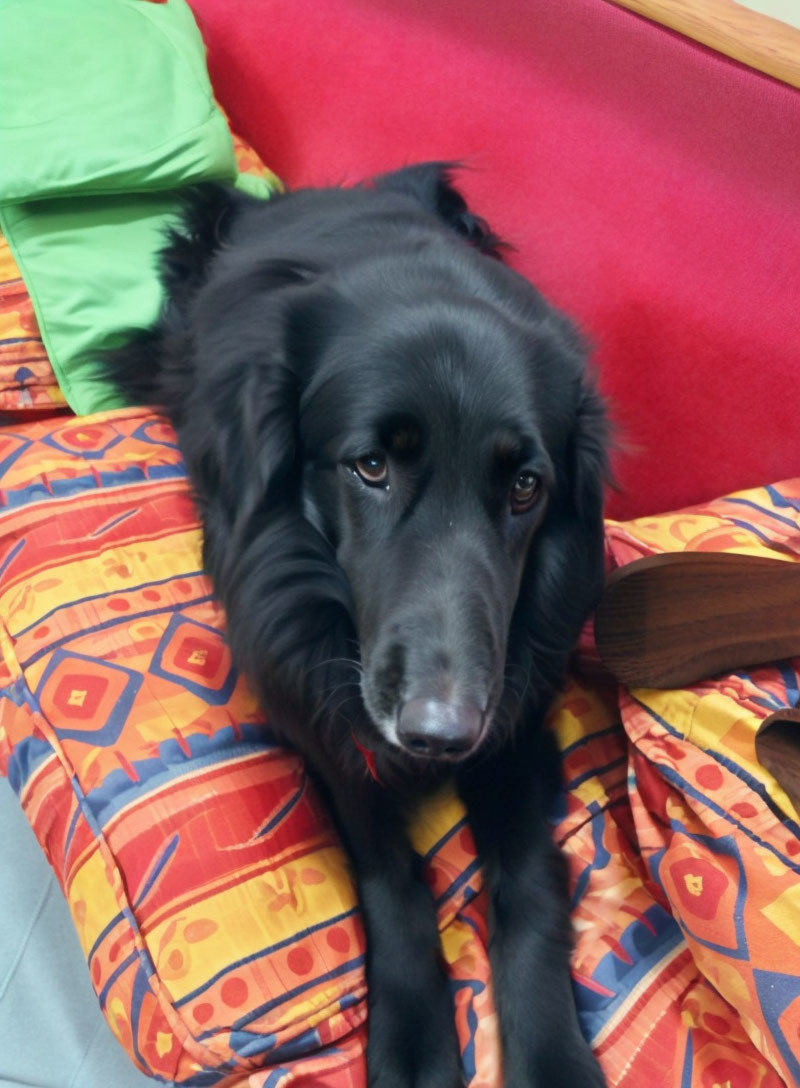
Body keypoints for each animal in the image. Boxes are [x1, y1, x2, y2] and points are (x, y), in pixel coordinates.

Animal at [106, 163, 605, 1088]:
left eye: (526, 487)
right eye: (370, 466)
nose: (439, 736)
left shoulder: (514, 716)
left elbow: (525, 879)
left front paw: (552, 1053)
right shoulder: (332, 728)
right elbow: (391, 874)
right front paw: (411, 1037)